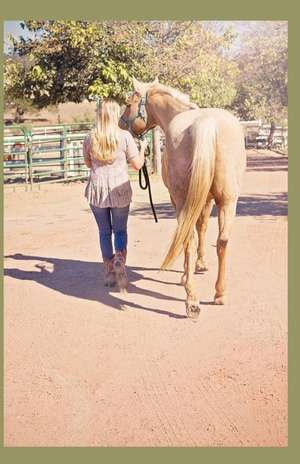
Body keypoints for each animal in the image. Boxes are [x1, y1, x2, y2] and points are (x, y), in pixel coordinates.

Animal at [119, 79, 246, 320]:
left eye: (129, 102)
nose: (121, 123)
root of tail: (206, 124)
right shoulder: (206, 199)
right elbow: (202, 227)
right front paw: (200, 265)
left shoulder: (179, 201)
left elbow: (194, 231)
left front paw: (188, 273)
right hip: (228, 201)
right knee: (223, 241)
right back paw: (219, 294)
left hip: (182, 200)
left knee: (187, 238)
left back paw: (192, 300)